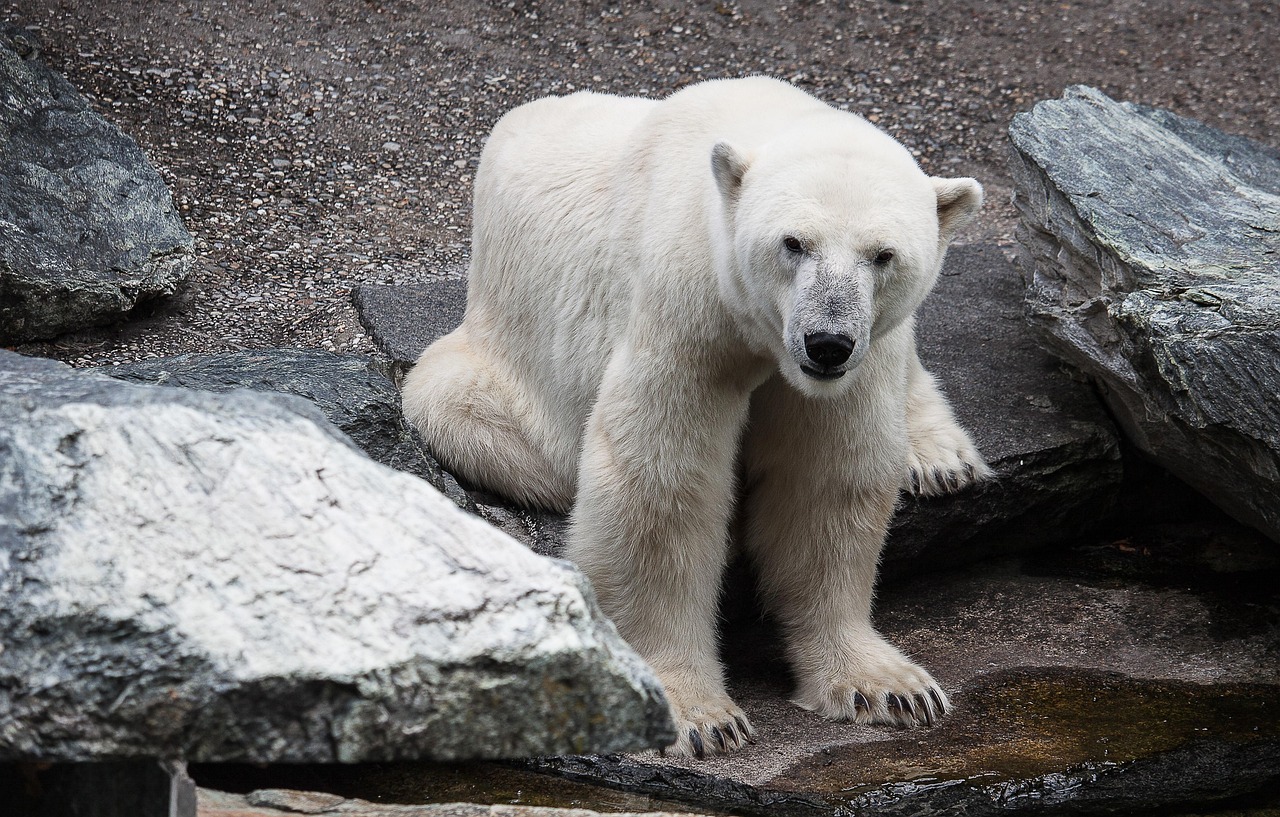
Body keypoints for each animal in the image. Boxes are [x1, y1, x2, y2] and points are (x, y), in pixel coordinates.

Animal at [401, 78, 988, 763]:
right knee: (466, 412)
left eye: (883, 255)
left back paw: (940, 455)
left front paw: (889, 687)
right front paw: (696, 715)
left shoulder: (855, 362)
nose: (826, 343)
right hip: (495, 364)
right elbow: (662, 482)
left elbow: (825, 479)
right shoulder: (687, 311)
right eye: (794, 243)